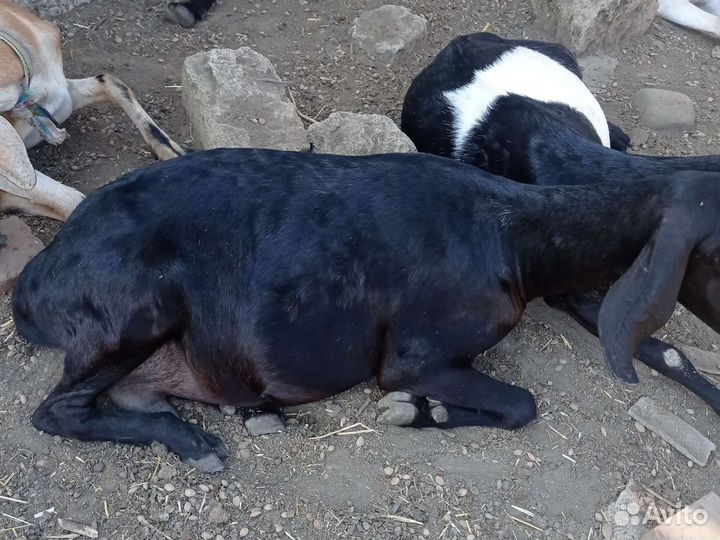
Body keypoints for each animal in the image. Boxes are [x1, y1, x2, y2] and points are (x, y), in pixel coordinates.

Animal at [12, 148, 720, 470]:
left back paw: (234, 418)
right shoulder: (415, 356)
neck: (512, 233)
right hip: (138, 310)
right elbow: (522, 404)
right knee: (56, 411)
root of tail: (37, 276)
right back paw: (195, 440)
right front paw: (419, 411)